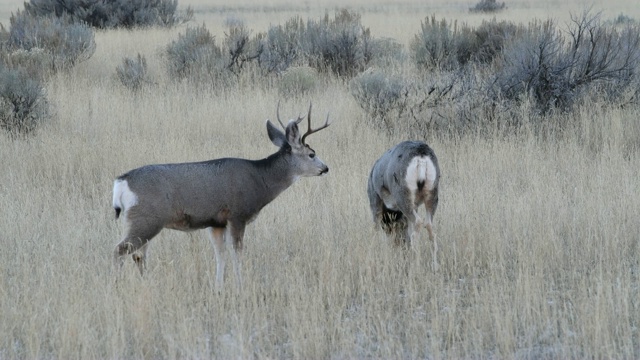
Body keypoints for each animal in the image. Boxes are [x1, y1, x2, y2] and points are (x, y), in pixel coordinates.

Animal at [112, 102, 330, 288]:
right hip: (147, 219)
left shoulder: (216, 222)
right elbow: (237, 253)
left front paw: (219, 287)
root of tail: (121, 182)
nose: (325, 168)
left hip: (138, 221)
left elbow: (220, 254)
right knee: (120, 250)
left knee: (138, 256)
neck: (260, 179)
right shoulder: (237, 215)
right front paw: (240, 285)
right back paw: (115, 286)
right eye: (312, 154)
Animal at [368, 141, 442, 270]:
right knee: (429, 227)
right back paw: (434, 266)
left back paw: (416, 264)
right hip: (431, 196)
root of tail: (421, 157)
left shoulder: (375, 203)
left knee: (417, 225)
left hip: (403, 197)